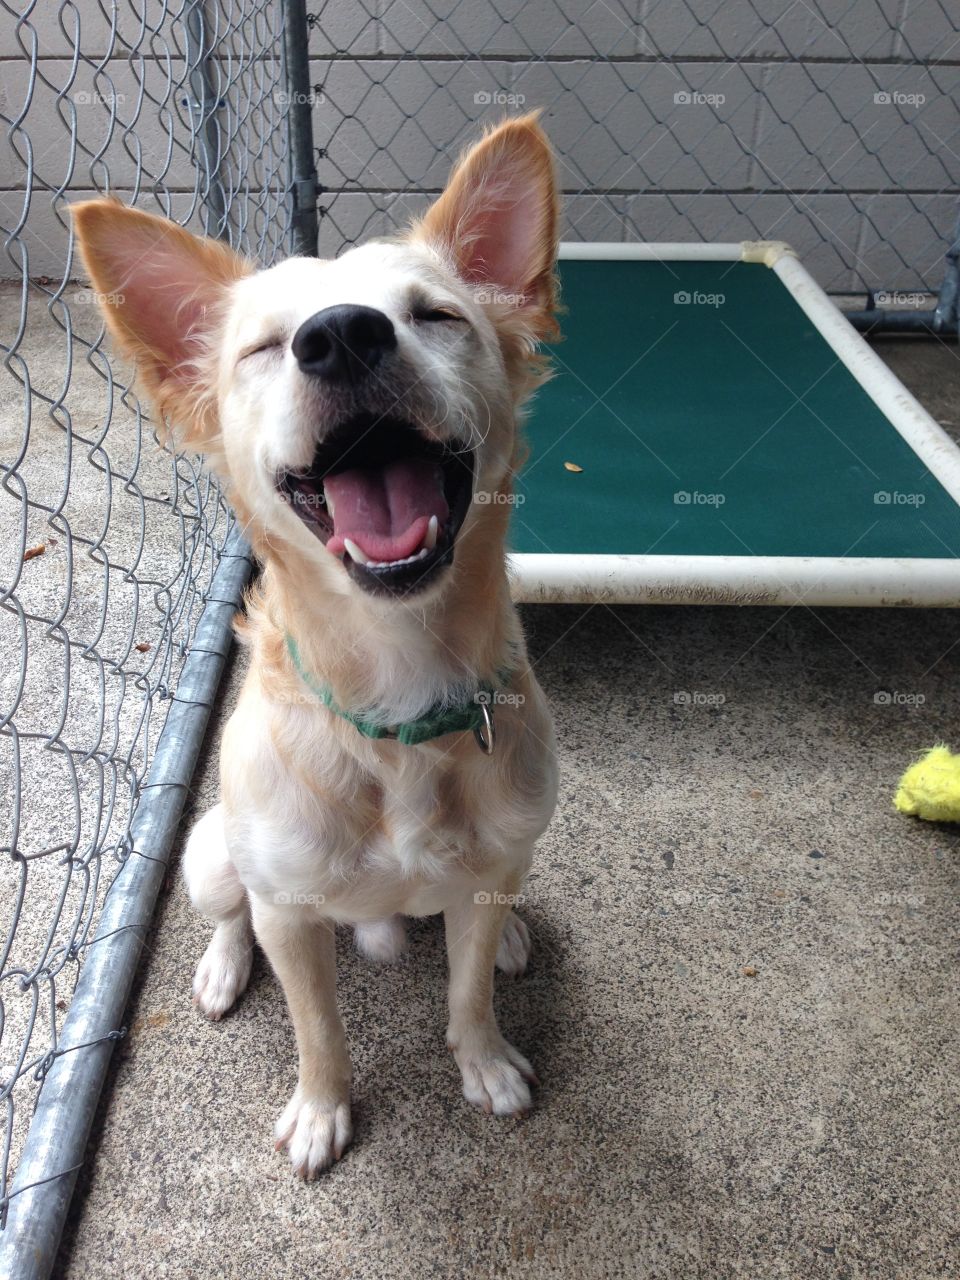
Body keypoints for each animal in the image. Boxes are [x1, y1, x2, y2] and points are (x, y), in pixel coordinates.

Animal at [77, 115, 563, 1172]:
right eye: (263, 346)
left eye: (437, 316)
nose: (341, 334)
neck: (398, 692)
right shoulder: (293, 919)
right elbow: (316, 1028)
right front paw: (321, 1110)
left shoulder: (488, 868)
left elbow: (467, 990)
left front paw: (484, 1060)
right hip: (212, 851)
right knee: (230, 915)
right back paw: (223, 969)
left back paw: (510, 935)